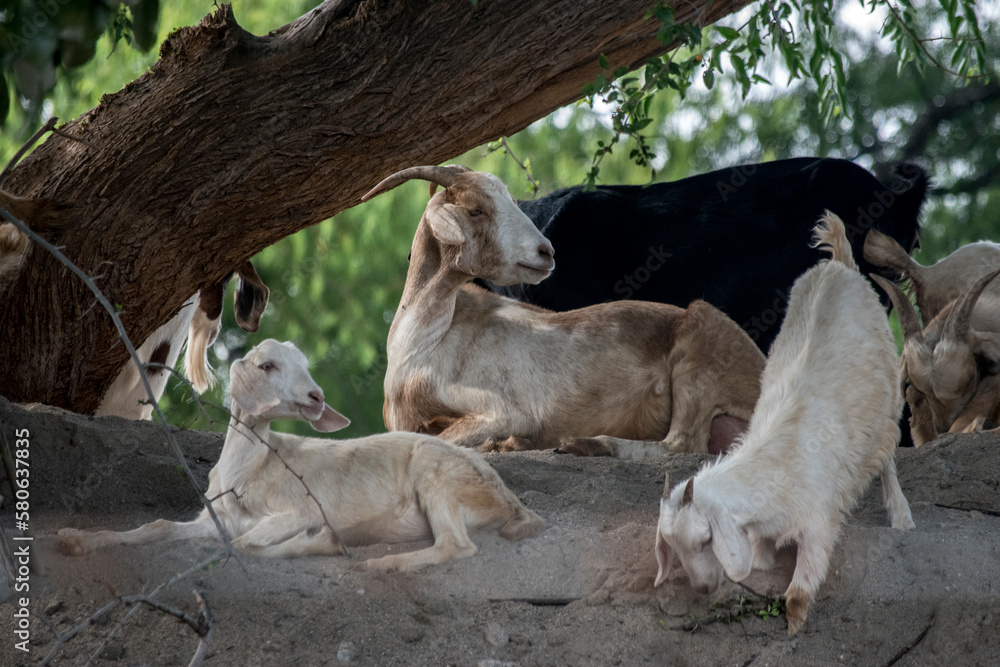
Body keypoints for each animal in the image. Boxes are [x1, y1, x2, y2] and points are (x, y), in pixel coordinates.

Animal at [58, 339, 544, 571]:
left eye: (306, 366)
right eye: (267, 365)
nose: (316, 397)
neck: (248, 471)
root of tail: (509, 498)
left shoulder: (297, 509)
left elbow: (244, 543)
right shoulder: (215, 519)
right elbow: (156, 527)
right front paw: (75, 539)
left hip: (436, 474)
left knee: (455, 545)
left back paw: (375, 563)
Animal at [362, 165, 765, 456]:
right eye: (475, 210)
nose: (546, 251)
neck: (422, 343)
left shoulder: (505, 410)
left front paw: (509, 443)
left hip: (700, 346)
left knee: (682, 445)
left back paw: (588, 444)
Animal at [654, 213, 914, 637]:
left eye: (706, 538)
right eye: (671, 546)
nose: (703, 587)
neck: (779, 462)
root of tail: (839, 265)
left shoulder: (819, 523)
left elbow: (797, 593)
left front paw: (793, 629)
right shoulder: (761, 527)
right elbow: (761, 557)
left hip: (890, 396)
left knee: (888, 452)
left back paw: (901, 517)